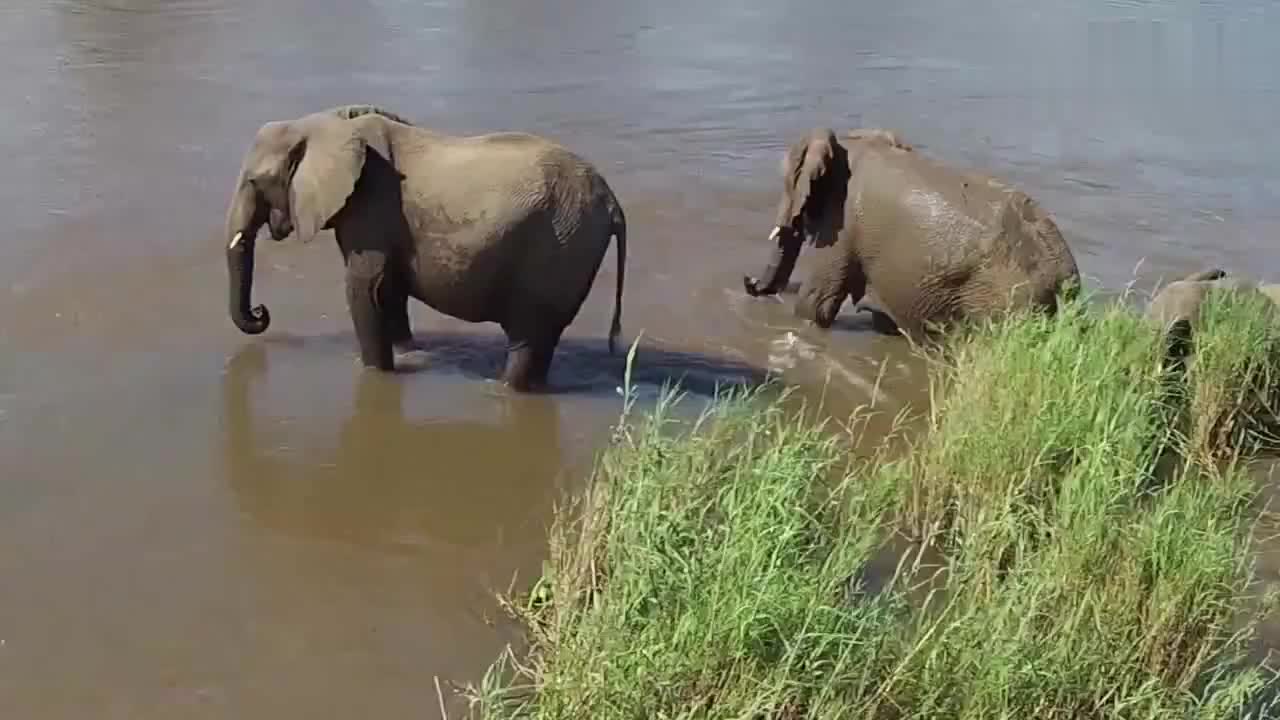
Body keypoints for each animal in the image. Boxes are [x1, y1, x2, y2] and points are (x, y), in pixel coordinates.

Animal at [224, 104, 627, 391]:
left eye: (255, 182)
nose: (261, 312)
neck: (323, 122)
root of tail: (612, 202)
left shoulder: (371, 203)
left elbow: (363, 288)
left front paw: (377, 374)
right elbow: (388, 290)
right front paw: (411, 357)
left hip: (561, 243)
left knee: (529, 336)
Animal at [742, 128, 1081, 339]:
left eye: (787, 183)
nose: (748, 281)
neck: (848, 140)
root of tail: (1067, 279)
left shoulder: (843, 222)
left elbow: (816, 304)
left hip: (1004, 300)